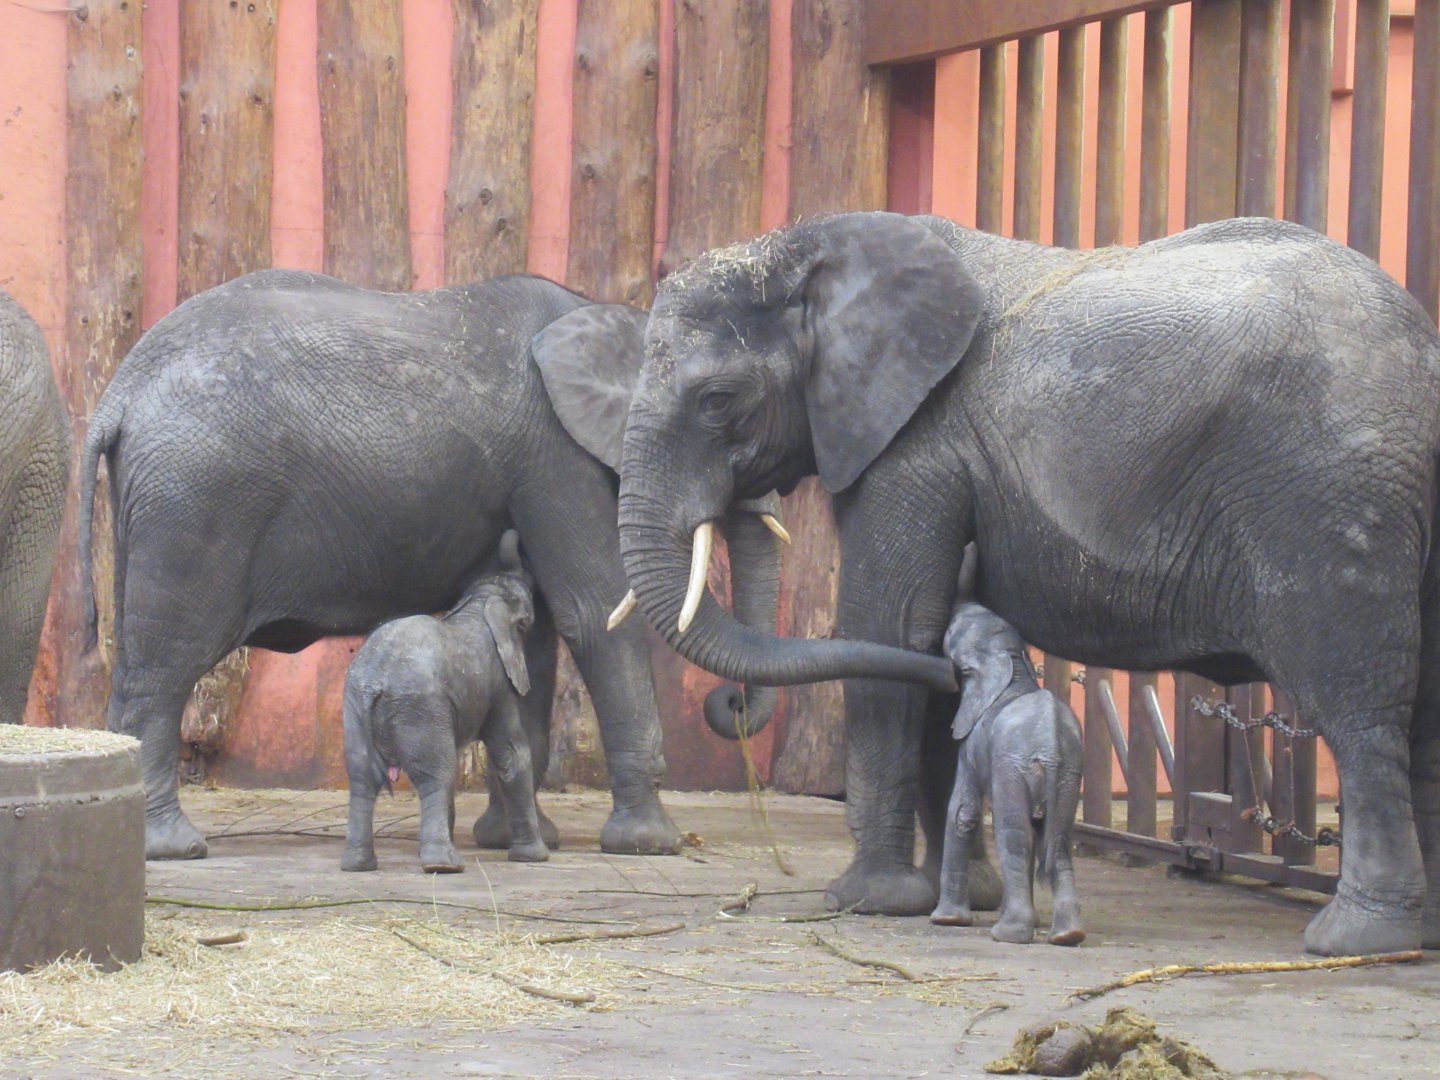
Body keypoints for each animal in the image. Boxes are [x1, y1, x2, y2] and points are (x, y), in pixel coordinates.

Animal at [342, 531, 548, 872]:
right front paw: (534, 858)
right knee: (435, 773)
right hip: (418, 707)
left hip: (356, 705)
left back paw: (359, 865)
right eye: (526, 622)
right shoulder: (499, 682)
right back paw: (445, 865)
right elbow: (512, 753)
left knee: (362, 776)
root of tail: (375, 681)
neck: (479, 602)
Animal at [930, 593, 1083, 946]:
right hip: (1069, 775)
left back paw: (1008, 934)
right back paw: (1067, 935)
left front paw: (945, 921)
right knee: (1057, 839)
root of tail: (1050, 745)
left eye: (953, 629)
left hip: (1012, 767)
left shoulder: (970, 742)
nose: (959, 601)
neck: (1010, 661)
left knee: (1014, 833)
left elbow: (962, 812)